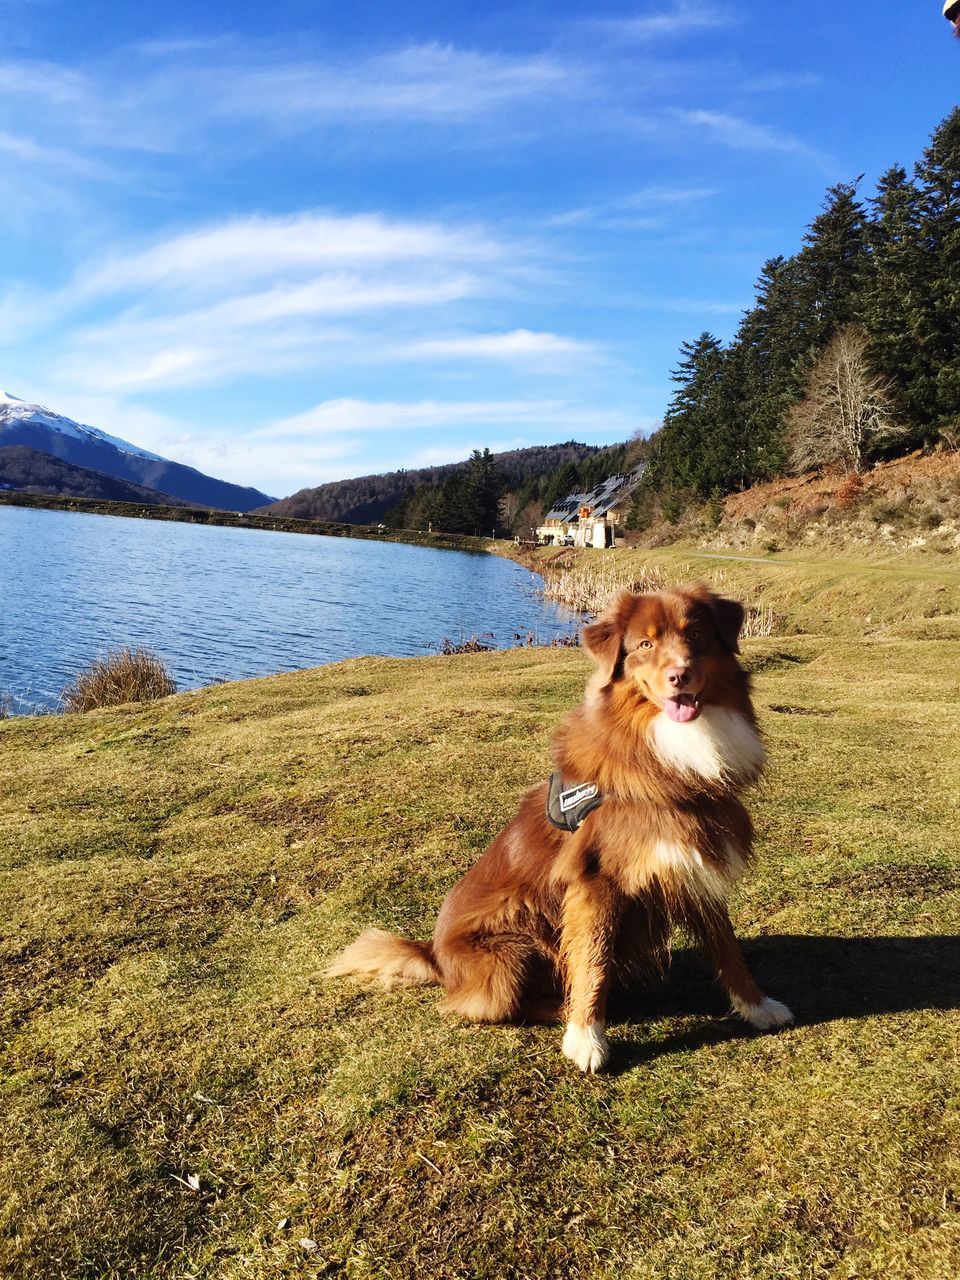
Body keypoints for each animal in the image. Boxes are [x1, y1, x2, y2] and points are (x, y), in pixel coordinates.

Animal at [330, 586, 798, 1070]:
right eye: (645, 644)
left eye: (697, 635)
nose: (680, 675)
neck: (670, 750)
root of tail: (433, 955)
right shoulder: (596, 881)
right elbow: (592, 959)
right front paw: (586, 1037)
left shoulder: (692, 859)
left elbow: (727, 946)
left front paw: (757, 1007)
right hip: (511, 951)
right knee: (490, 1006)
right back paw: (564, 1007)